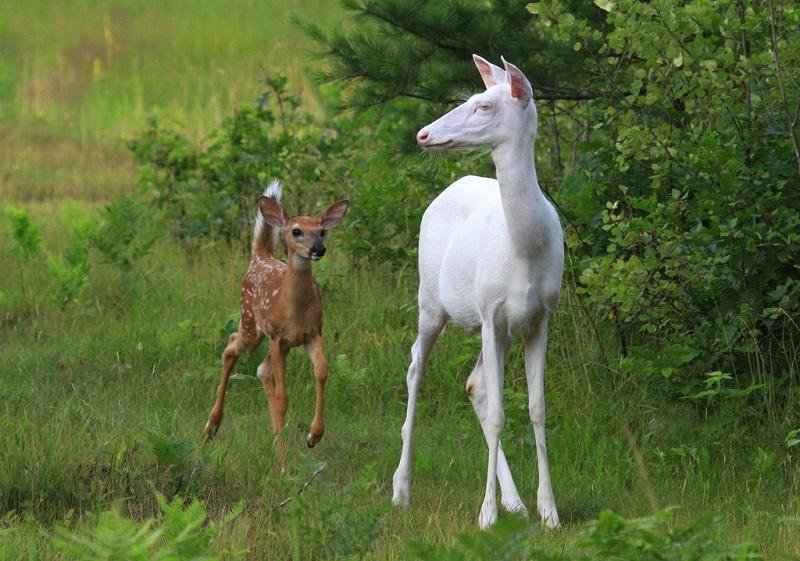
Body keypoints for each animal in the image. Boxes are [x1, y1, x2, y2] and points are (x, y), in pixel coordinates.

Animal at [392, 54, 564, 528]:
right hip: (431, 301)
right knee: (416, 366)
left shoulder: (540, 316)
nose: (423, 134)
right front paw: (486, 516)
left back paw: (516, 502)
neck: (524, 249)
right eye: (471, 97)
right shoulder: (489, 312)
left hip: (500, 330)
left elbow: (535, 409)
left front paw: (549, 511)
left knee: (474, 387)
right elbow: (502, 414)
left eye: (484, 104)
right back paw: (401, 489)